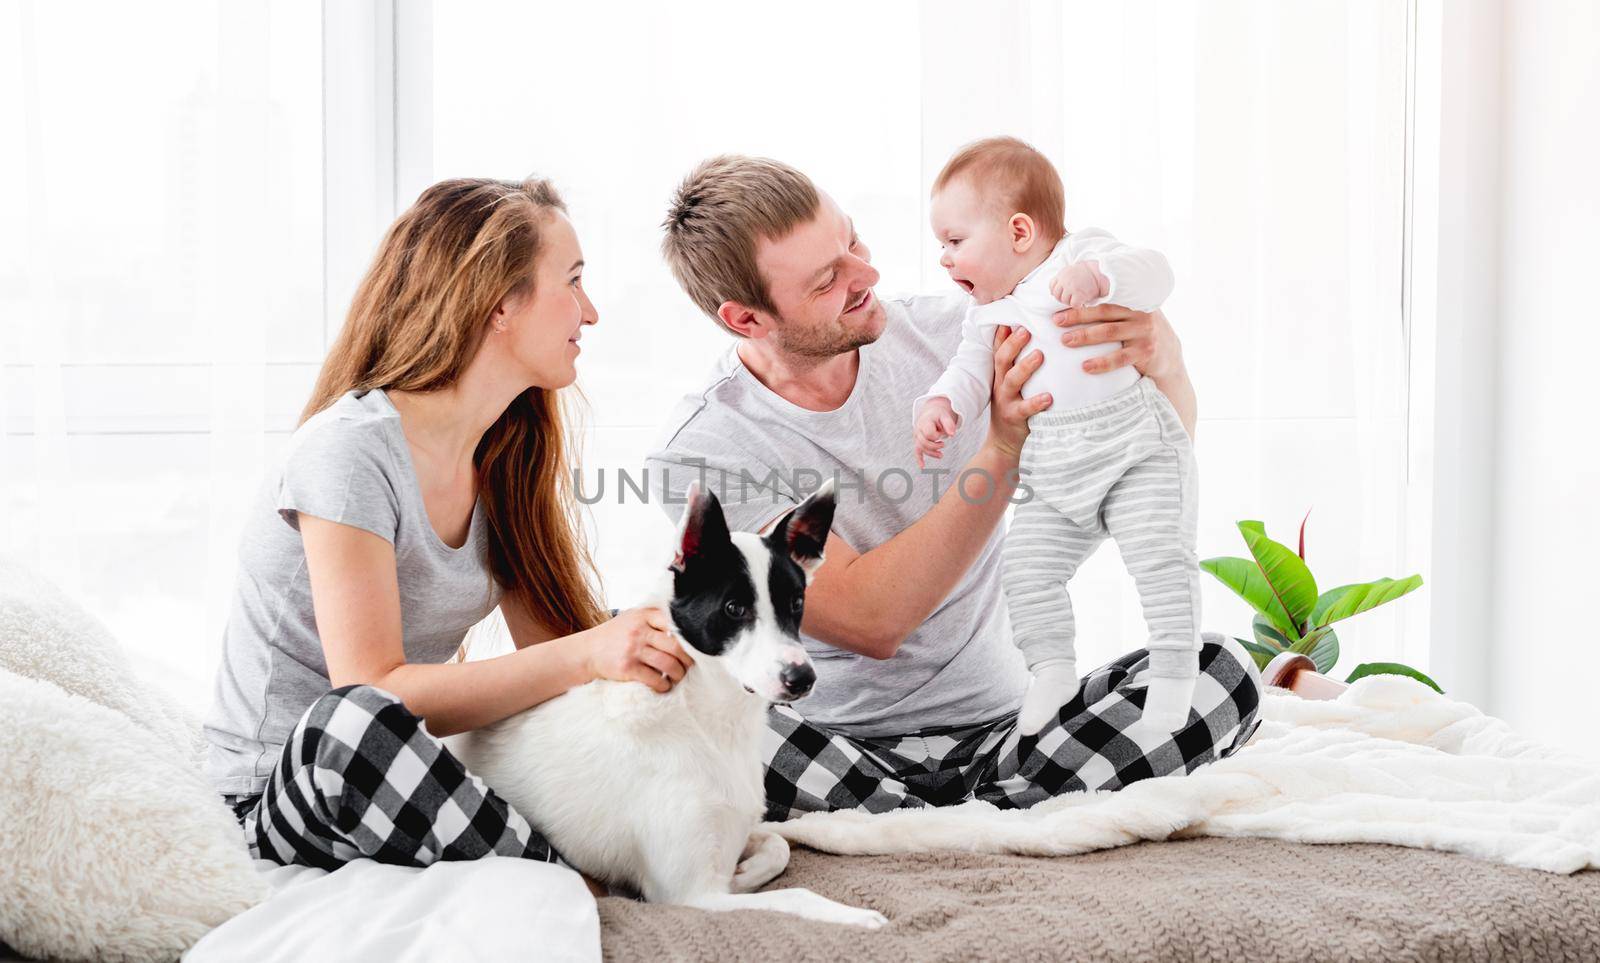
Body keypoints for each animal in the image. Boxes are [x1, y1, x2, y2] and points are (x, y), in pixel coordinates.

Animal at [448, 483, 889, 927]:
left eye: (797, 603)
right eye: (734, 608)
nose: (802, 678)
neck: (705, 719)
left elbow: (777, 847)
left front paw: (746, 871)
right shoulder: (689, 895)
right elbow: (797, 894)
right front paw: (854, 917)